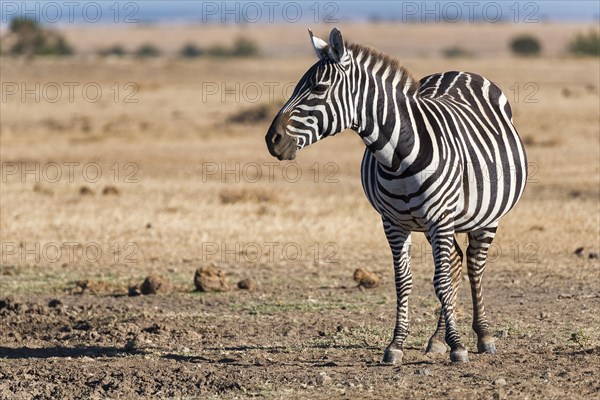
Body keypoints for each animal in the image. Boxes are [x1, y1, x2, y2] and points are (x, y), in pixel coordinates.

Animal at [264, 28, 528, 364]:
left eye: (319, 88)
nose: (272, 139)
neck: (399, 156)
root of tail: (460, 72)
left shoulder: (440, 220)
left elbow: (441, 281)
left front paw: (458, 346)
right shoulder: (393, 223)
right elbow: (404, 281)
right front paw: (397, 344)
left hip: (485, 217)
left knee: (473, 265)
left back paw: (482, 335)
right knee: (456, 262)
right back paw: (437, 339)